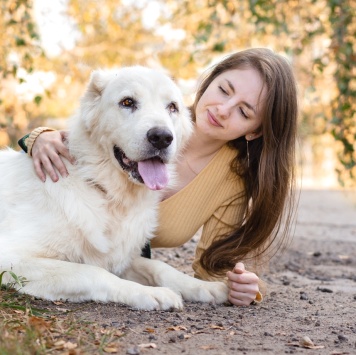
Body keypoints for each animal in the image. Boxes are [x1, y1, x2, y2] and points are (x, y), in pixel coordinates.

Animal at [0, 67, 228, 312]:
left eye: (172, 107)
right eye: (127, 102)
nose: (162, 137)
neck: (109, 194)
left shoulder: (122, 257)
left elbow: (159, 267)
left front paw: (206, 287)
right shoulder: (13, 256)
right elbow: (93, 272)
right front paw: (151, 293)